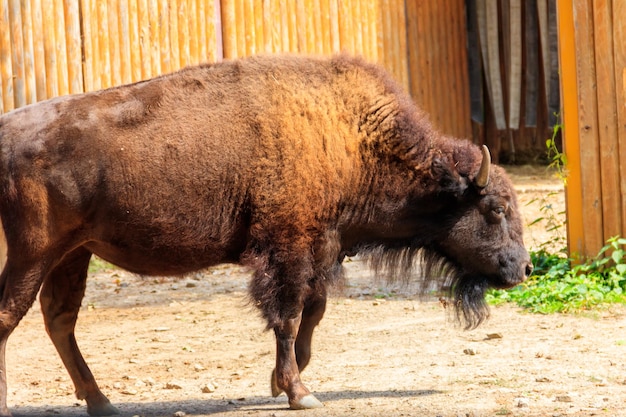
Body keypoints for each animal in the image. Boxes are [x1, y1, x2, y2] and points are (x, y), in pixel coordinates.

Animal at [0, 53, 528, 414]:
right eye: (496, 208)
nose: (522, 268)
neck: (349, 137)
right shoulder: (287, 250)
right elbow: (289, 317)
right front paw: (298, 392)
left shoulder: (319, 250)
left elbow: (313, 314)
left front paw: (281, 380)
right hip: (34, 253)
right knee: (12, 315)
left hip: (74, 253)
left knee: (60, 319)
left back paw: (102, 402)